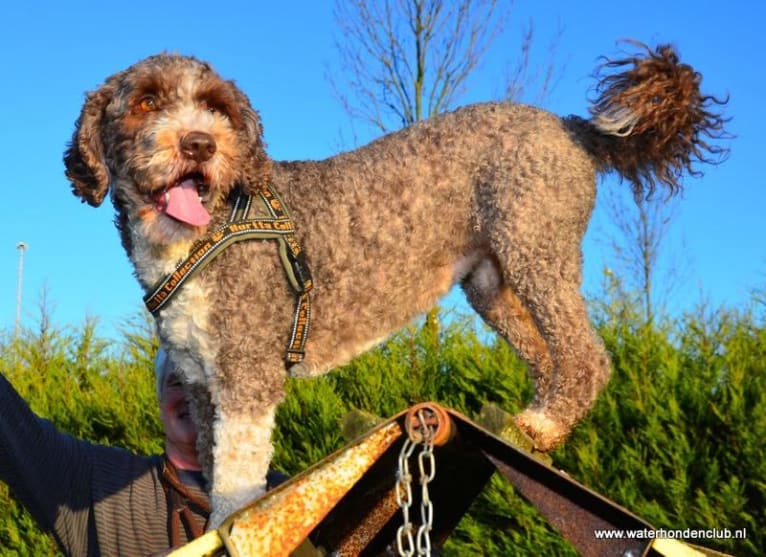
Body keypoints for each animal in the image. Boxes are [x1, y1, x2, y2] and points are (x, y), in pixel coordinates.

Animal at [64, 44, 728, 524]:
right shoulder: (204, 386)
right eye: (146, 102)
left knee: (586, 356)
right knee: (548, 355)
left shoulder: (246, 377)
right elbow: (214, 468)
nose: (199, 143)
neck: (206, 231)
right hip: (493, 283)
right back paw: (530, 429)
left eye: (218, 108)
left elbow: (236, 487)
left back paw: (544, 422)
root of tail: (571, 126)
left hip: (536, 248)